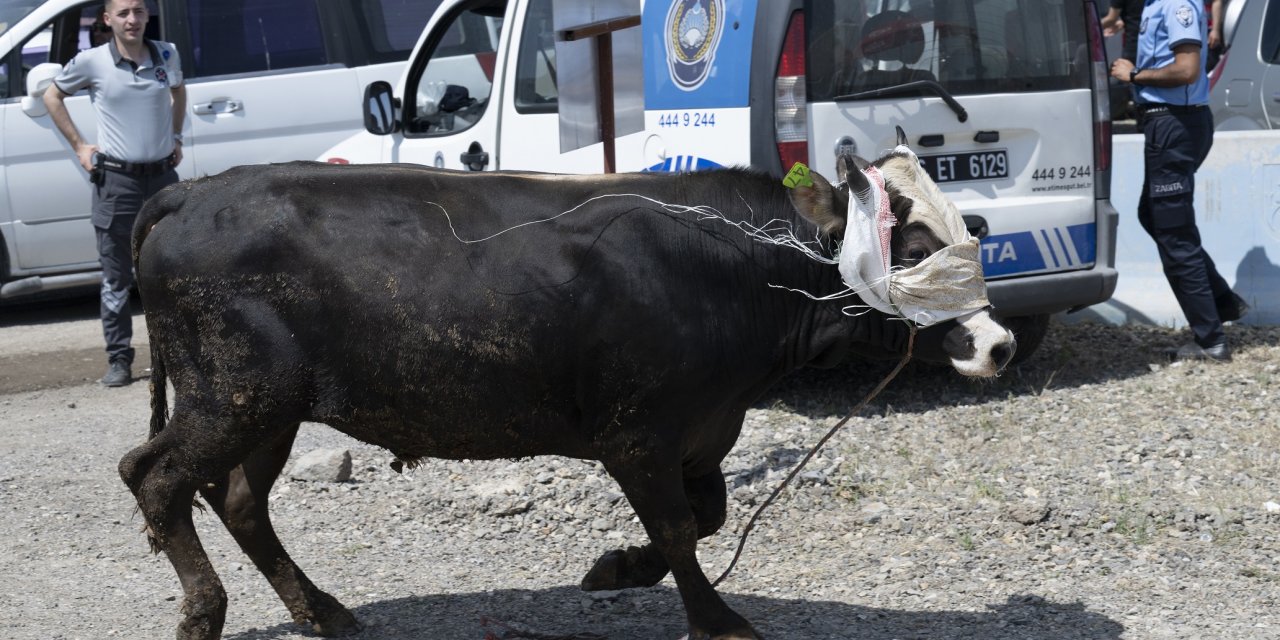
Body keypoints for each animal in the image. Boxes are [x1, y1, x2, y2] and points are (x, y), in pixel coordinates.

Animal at [120, 160, 1013, 640]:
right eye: (917, 246)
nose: (999, 344)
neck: (731, 267)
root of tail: (196, 191)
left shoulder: (703, 430)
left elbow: (708, 516)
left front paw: (618, 568)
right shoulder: (637, 436)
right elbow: (682, 528)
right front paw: (715, 616)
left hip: (269, 408)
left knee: (238, 499)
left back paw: (322, 609)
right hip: (233, 394)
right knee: (154, 475)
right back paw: (204, 611)